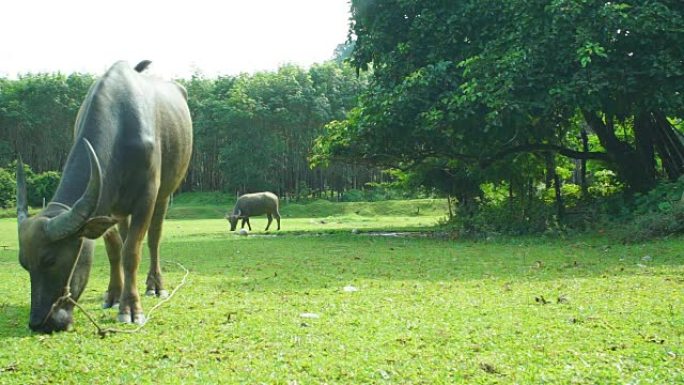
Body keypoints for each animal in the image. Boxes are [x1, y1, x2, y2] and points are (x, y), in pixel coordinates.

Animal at [16, 60, 192, 332]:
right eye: (24, 263)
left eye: (50, 259)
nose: (39, 322)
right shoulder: (105, 202)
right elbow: (114, 249)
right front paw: (114, 296)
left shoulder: (146, 198)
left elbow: (131, 252)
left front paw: (131, 309)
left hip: (164, 194)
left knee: (153, 239)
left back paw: (155, 285)